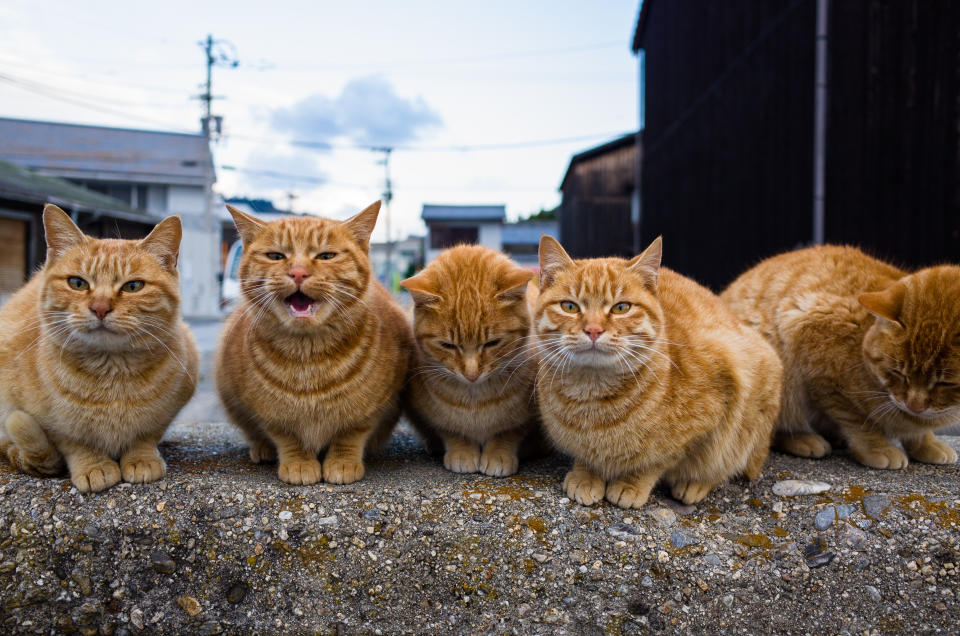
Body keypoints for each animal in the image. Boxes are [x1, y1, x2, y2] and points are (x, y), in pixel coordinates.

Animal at [0, 206, 198, 494]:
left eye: (133, 286)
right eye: (77, 283)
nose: (100, 307)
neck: (111, 374)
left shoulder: (170, 407)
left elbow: (146, 435)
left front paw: (142, 458)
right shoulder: (46, 420)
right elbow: (74, 441)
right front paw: (93, 465)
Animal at [216, 201, 410, 484]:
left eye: (326, 256)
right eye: (275, 256)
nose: (298, 272)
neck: (308, 356)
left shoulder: (372, 408)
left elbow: (350, 435)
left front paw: (342, 462)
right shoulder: (268, 413)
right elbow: (288, 438)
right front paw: (298, 463)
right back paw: (262, 448)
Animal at [402, 246, 544, 474]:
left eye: (492, 343)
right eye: (448, 345)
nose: (471, 374)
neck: (475, 399)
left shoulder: (525, 418)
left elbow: (508, 433)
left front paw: (498, 454)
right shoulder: (433, 415)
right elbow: (452, 431)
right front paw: (462, 451)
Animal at [532, 236, 780, 510]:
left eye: (621, 308)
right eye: (569, 306)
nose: (594, 330)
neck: (592, 396)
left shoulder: (709, 415)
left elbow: (657, 461)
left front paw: (631, 484)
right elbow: (586, 457)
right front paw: (586, 475)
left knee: (726, 461)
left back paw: (695, 484)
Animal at [724, 246, 956, 470]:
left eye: (945, 383)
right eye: (898, 372)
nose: (914, 406)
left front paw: (927, 443)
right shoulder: (822, 374)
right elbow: (858, 420)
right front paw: (877, 448)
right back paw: (803, 439)